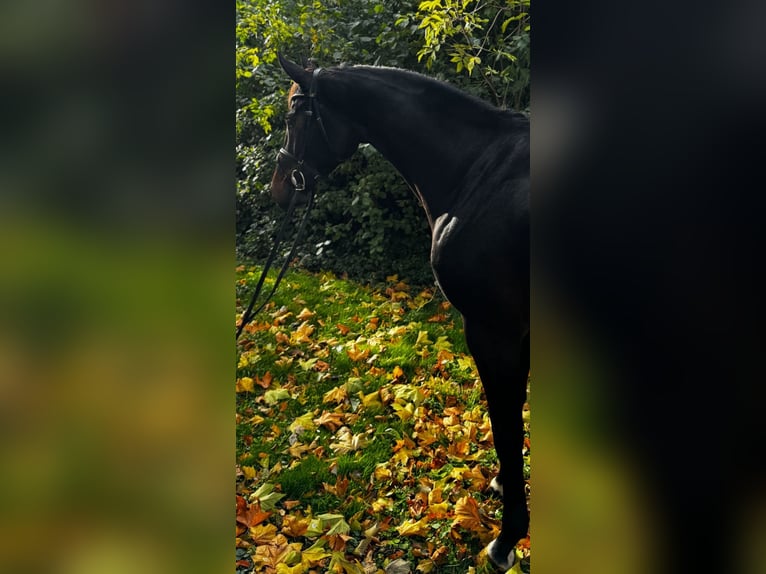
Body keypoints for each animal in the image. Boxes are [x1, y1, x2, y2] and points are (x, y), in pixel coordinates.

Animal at [270, 54, 530, 570]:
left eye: (292, 116)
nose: (278, 190)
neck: (479, 171)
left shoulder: (494, 331)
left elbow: (506, 427)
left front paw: (507, 539)